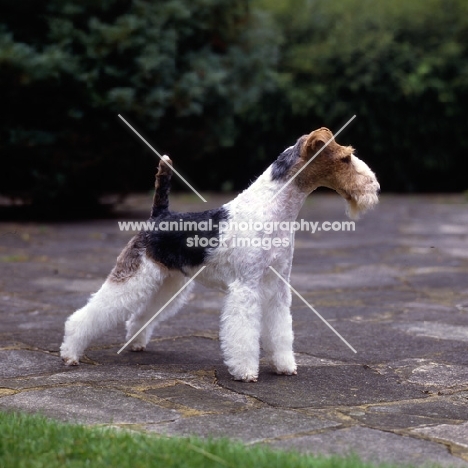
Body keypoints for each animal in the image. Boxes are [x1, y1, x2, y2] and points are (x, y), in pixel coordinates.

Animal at [59, 127, 380, 380]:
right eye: (346, 158)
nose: (375, 186)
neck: (274, 210)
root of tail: (159, 216)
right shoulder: (246, 287)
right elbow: (244, 333)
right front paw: (246, 372)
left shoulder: (277, 287)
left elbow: (280, 330)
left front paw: (285, 365)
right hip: (135, 275)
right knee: (88, 314)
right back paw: (70, 353)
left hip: (169, 282)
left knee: (140, 314)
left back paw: (135, 342)